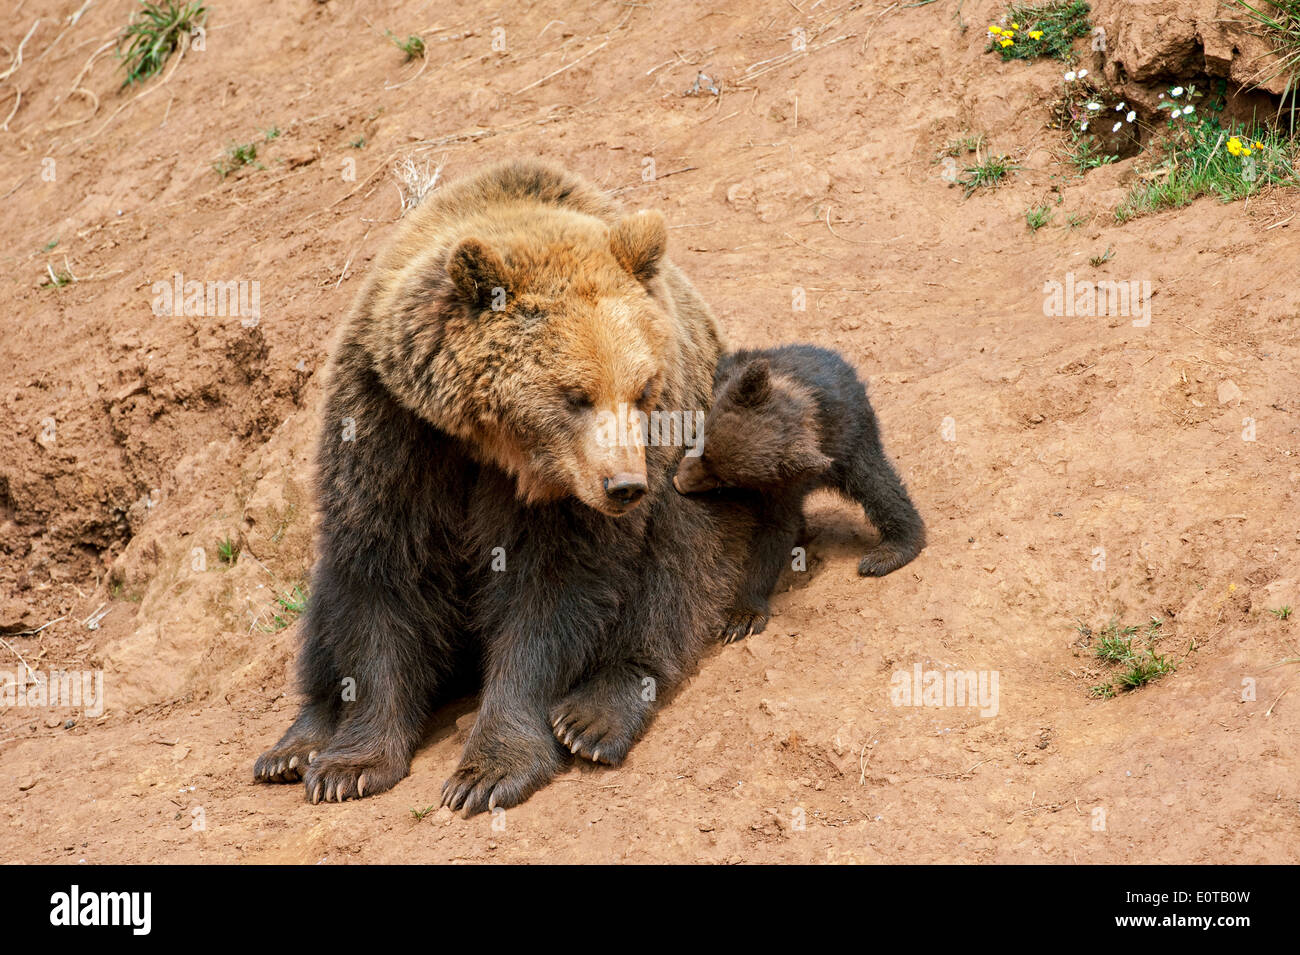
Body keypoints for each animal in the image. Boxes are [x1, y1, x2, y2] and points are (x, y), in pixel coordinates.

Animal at [253, 159, 752, 814]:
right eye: (576, 395)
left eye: (641, 390)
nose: (624, 486)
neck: (492, 445)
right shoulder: (391, 426)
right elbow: (383, 576)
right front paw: (349, 765)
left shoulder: (571, 498)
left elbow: (552, 597)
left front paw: (488, 771)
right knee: (325, 601)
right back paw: (293, 747)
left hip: (691, 483)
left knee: (677, 574)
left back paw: (597, 715)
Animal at [672, 344, 926, 642]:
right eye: (704, 446)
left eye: (725, 480)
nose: (679, 482)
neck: (797, 397)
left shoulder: (787, 484)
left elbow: (774, 535)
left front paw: (743, 615)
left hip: (856, 441)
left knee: (877, 485)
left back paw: (891, 550)